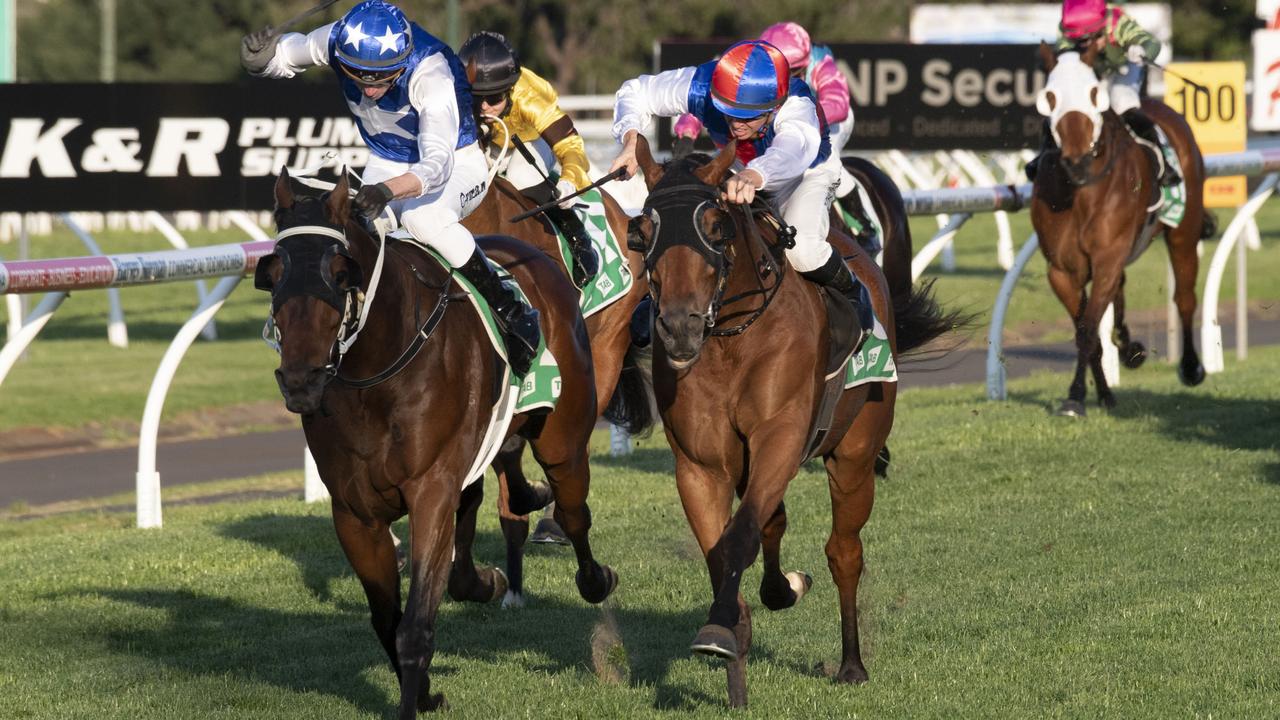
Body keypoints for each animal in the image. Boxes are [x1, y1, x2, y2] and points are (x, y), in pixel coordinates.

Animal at [254, 169, 614, 712]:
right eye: (273, 275)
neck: (376, 375)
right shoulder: (355, 513)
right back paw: (492, 571)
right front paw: (422, 691)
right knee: (482, 517)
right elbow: (387, 620)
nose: (300, 380)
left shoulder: (429, 490)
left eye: (340, 273)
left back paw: (593, 578)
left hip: (563, 439)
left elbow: (414, 628)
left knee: (572, 511)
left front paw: (414, 698)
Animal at [624, 137, 957, 702]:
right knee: (773, 521)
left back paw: (851, 663)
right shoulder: (701, 465)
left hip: (855, 454)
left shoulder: (781, 435)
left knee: (844, 551)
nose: (678, 327)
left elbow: (739, 536)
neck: (731, 339)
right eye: (642, 233)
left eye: (715, 226)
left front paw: (724, 628)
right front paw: (733, 638)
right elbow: (724, 549)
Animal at [1029, 43, 1208, 415]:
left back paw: (1189, 367)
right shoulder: (1061, 271)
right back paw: (1128, 348)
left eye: (1094, 93)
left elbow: (1087, 329)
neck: (1080, 191)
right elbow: (1089, 331)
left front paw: (1075, 396)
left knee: (1185, 297)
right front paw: (1103, 393)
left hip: (1184, 231)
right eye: (1049, 97)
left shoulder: (1108, 258)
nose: (1077, 160)